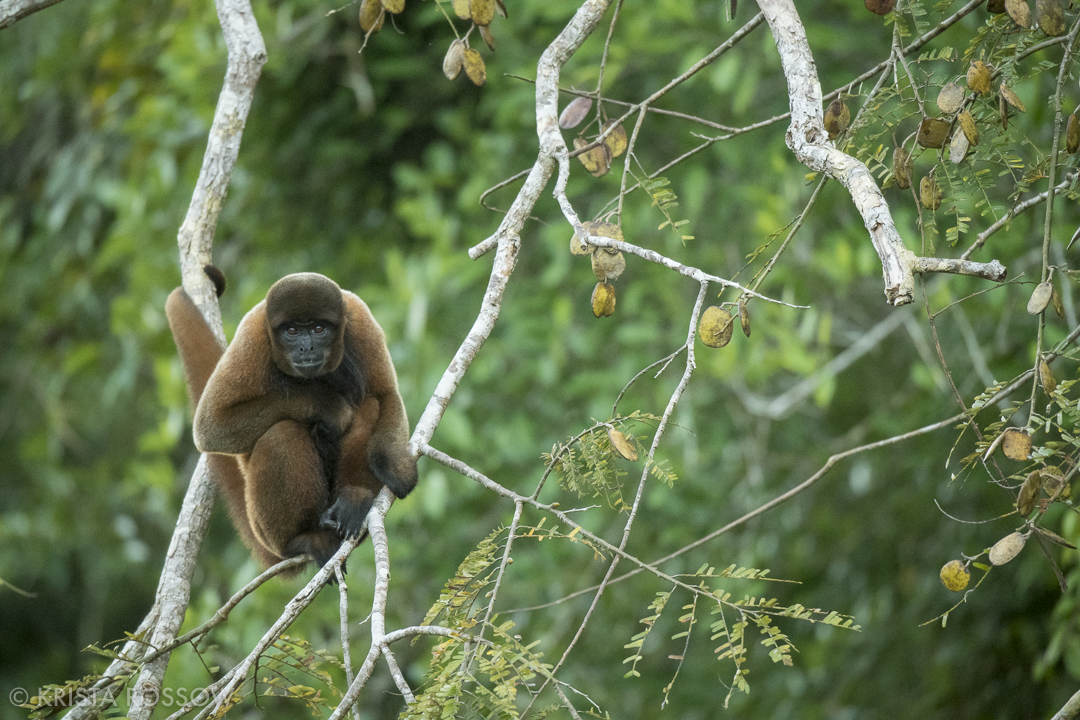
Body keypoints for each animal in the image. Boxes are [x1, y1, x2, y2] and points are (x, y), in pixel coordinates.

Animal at [166, 266, 418, 572]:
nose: (305, 348)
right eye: (292, 331)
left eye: (318, 329)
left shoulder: (360, 319)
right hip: (264, 527)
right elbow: (210, 427)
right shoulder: (253, 336)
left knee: (368, 406)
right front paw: (326, 404)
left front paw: (395, 468)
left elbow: (387, 394)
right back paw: (303, 539)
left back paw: (352, 500)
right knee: (281, 433)